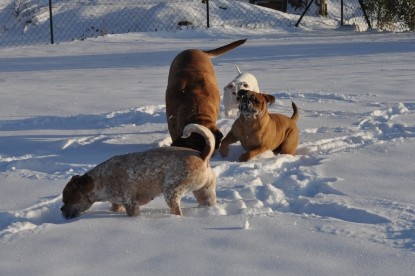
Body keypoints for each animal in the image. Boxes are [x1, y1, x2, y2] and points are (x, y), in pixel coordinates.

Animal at [62, 124, 218, 219]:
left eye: (67, 200)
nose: (61, 210)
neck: (99, 181)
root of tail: (203, 155)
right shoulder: (117, 203)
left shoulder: (131, 203)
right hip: (205, 193)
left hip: (171, 190)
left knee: (177, 211)